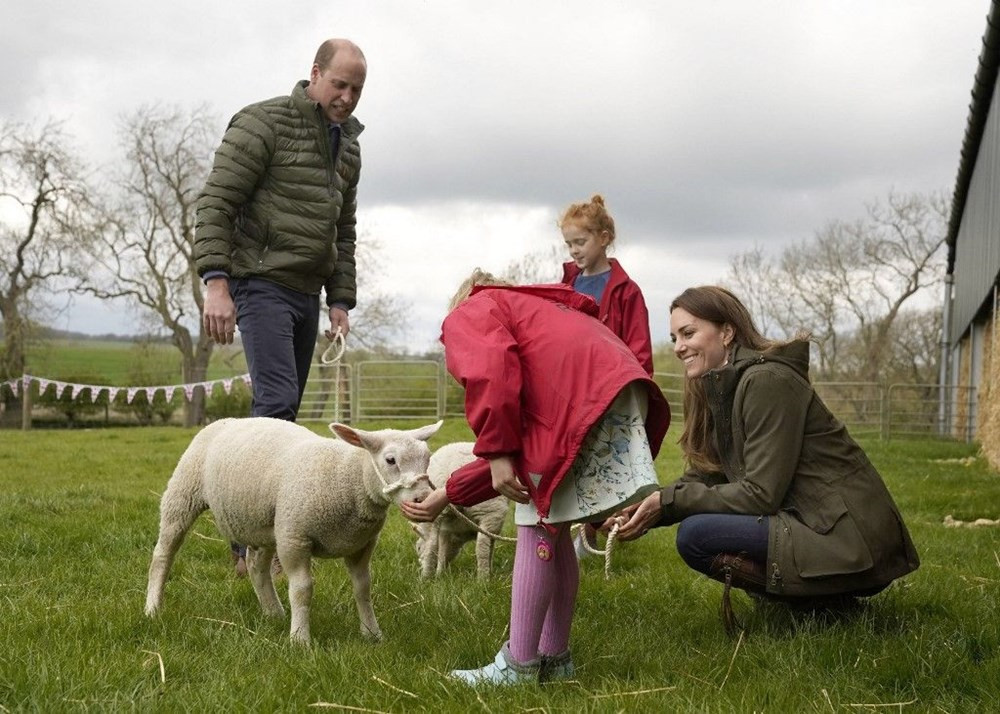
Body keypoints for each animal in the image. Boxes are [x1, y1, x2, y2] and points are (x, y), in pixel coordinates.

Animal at [143, 414, 440, 644]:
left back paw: (273, 612)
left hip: (265, 522)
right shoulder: (294, 538)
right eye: (390, 460)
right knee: (163, 554)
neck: (348, 477)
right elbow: (302, 589)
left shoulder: (362, 544)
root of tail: (229, 420)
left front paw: (372, 633)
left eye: (427, 458)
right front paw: (300, 639)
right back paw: (153, 608)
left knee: (256, 565)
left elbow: (363, 588)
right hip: (183, 493)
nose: (423, 498)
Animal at [412, 440, 512, 580]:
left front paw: (440, 573)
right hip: (490, 510)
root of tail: (450, 472)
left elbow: (442, 551)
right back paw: (483, 578)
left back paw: (425, 577)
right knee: (482, 545)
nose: (419, 566)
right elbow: (490, 546)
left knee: (432, 544)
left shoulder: (446, 529)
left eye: (418, 548)